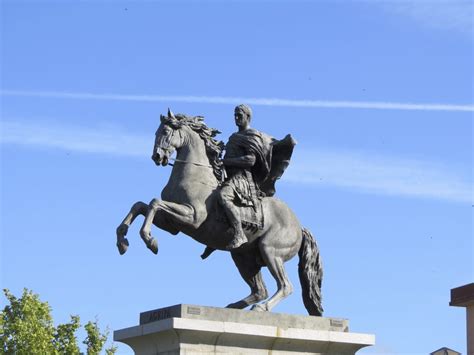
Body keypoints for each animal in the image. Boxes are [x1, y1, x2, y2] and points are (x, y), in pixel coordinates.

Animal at [115, 112, 324, 318]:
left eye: (166, 132)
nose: (157, 156)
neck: (194, 175)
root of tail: (299, 227)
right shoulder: (172, 224)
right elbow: (141, 206)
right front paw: (122, 241)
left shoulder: (192, 218)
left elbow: (154, 203)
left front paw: (150, 240)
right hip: (244, 257)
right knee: (260, 290)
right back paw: (232, 307)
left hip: (270, 251)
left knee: (285, 286)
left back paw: (261, 308)